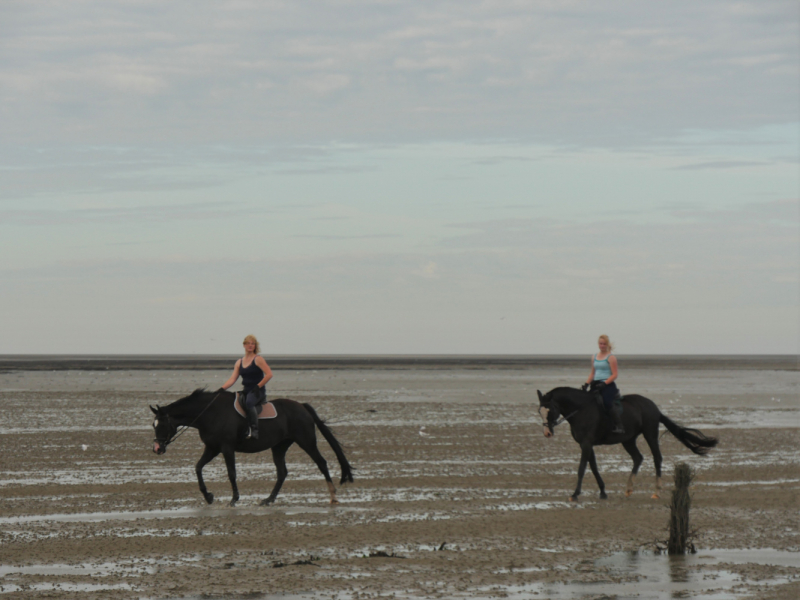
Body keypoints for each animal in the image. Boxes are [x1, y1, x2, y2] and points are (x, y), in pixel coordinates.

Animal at [152, 390, 352, 506]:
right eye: (153, 425)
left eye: (162, 425)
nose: (157, 448)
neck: (209, 413)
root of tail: (301, 406)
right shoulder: (212, 448)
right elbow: (198, 467)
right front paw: (208, 496)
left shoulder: (226, 448)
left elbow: (231, 473)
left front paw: (234, 499)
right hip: (279, 447)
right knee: (282, 472)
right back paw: (269, 499)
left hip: (306, 441)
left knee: (321, 463)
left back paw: (333, 496)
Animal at [536, 386, 720, 500]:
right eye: (539, 411)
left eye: (550, 409)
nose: (547, 433)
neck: (581, 410)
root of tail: (654, 407)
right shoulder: (586, 444)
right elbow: (594, 467)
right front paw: (603, 492)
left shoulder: (587, 444)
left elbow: (582, 468)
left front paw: (574, 494)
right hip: (628, 440)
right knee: (638, 458)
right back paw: (629, 489)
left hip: (650, 433)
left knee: (657, 458)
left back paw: (656, 492)